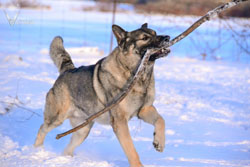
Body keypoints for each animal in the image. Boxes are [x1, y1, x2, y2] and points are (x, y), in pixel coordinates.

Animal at [34, 22, 171, 166]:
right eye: (145, 38)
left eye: (155, 33)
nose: (167, 38)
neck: (138, 75)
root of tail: (67, 70)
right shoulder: (120, 122)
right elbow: (131, 150)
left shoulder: (144, 110)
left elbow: (161, 120)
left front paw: (159, 142)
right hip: (57, 118)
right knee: (42, 128)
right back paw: (37, 150)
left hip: (83, 130)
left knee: (68, 148)